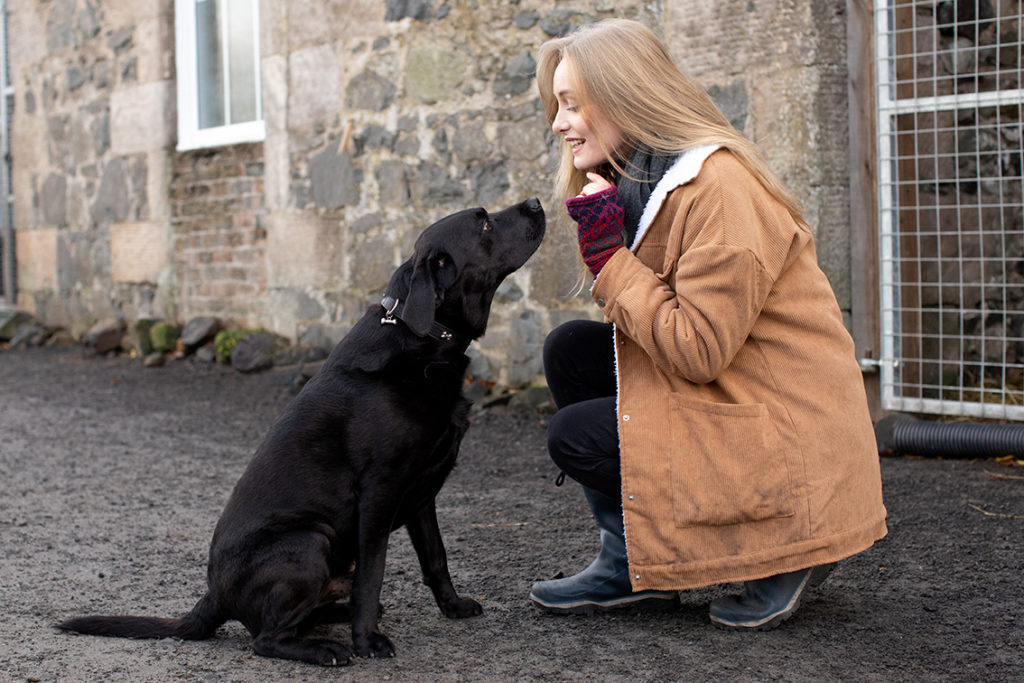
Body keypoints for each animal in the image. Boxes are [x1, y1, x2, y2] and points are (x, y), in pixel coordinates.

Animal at [58, 197, 544, 667]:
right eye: (484, 223)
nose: (537, 202)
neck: (420, 339)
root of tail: (213, 597)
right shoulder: (379, 493)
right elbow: (374, 575)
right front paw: (368, 641)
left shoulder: (423, 493)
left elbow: (436, 557)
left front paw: (453, 606)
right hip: (311, 540)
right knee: (266, 639)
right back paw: (326, 648)